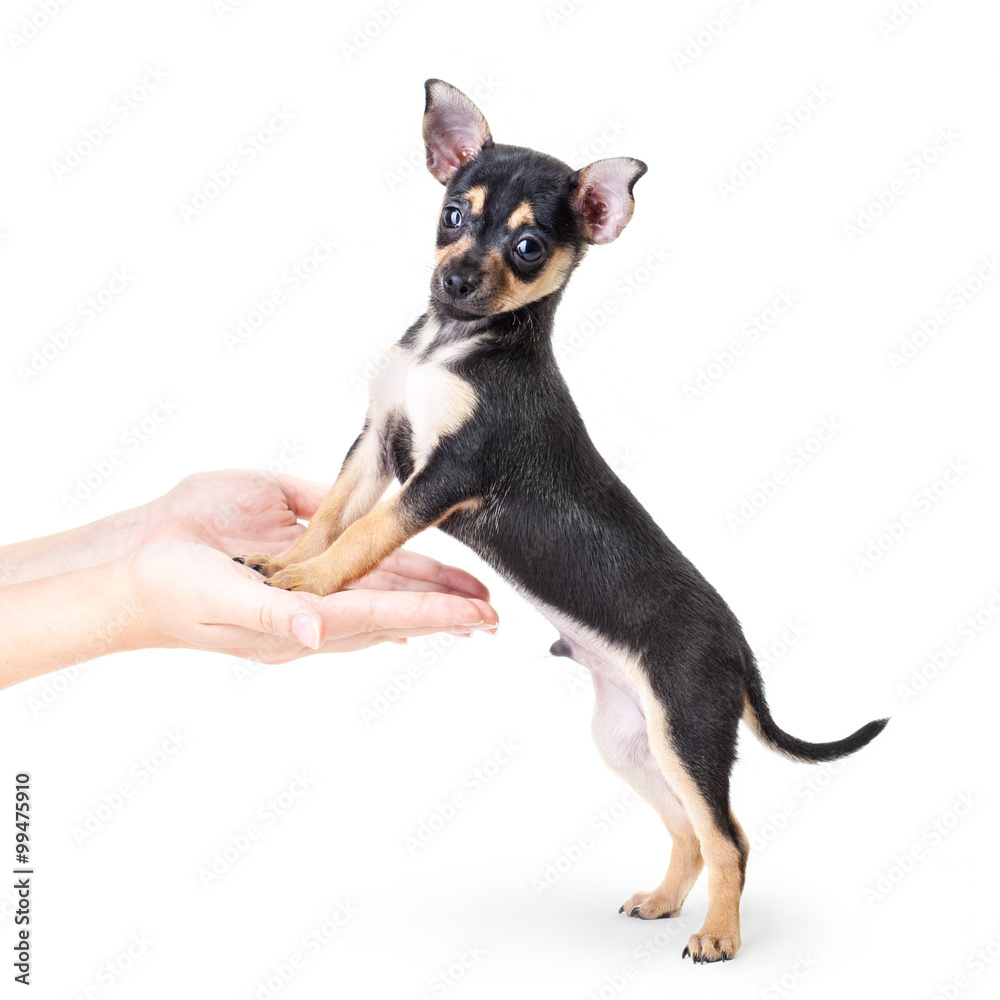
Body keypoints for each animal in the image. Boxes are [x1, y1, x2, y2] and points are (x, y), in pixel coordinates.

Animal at [240, 80, 884, 960]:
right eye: (453, 213)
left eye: (529, 246)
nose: (457, 281)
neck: (453, 347)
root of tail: (740, 651)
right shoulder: (374, 444)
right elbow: (333, 516)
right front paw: (288, 561)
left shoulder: (446, 476)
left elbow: (366, 536)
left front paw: (310, 584)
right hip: (631, 740)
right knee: (692, 831)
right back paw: (663, 901)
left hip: (689, 730)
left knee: (730, 837)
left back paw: (718, 936)